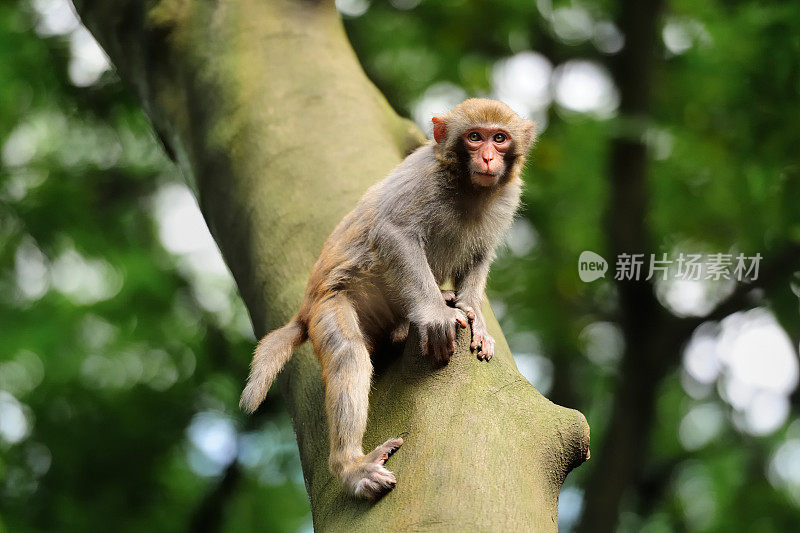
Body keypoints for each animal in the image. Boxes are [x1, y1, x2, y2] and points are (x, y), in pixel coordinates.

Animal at [241, 98, 536, 498]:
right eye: (475, 137)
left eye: (500, 138)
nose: (489, 158)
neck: (467, 186)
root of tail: (304, 308)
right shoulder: (423, 178)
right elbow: (394, 232)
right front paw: (435, 316)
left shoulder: (506, 198)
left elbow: (478, 257)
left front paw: (476, 318)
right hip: (329, 305)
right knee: (348, 353)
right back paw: (351, 467)